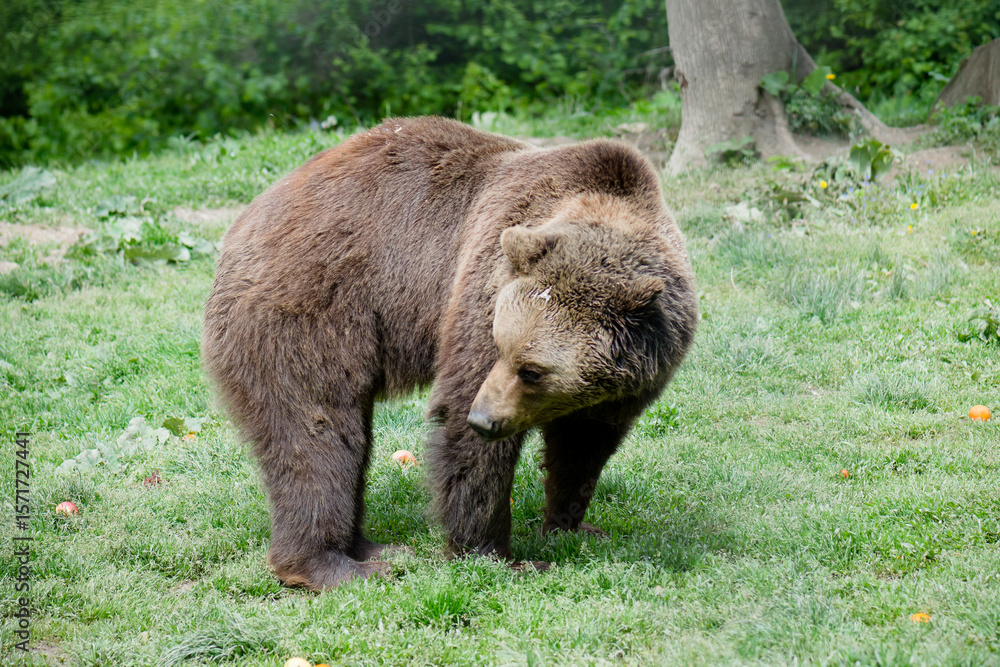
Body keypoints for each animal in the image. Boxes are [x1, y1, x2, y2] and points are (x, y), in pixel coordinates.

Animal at [202, 116, 697, 591]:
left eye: (532, 370)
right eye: (500, 345)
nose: (485, 419)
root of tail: (241, 226)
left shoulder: (628, 379)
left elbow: (584, 443)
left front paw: (571, 524)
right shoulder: (482, 280)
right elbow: (466, 430)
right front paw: (499, 554)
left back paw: (372, 546)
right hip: (312, 311)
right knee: (318, 431)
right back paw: (335, 565)